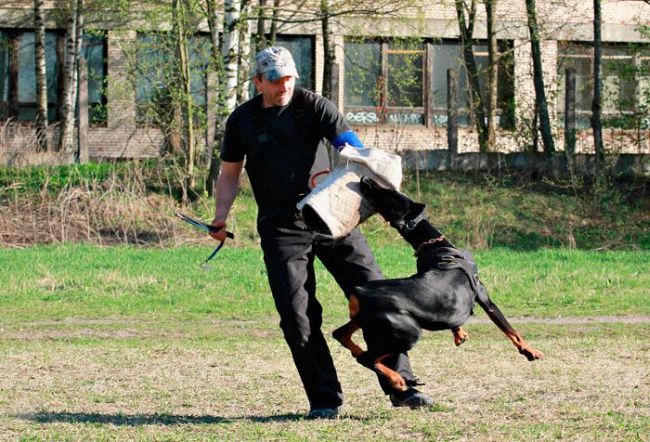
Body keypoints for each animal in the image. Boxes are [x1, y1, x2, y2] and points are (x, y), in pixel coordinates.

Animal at [332, 177, 543, 392]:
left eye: (389, 192)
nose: (365, 178)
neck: (434, 245)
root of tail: (359, 291)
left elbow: (454, 321)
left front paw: (459, 334)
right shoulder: (485, 298)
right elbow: (511, 330)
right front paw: (530, 351)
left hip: (365, 321)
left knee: (340, 335)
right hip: (406, 333)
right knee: (366, 358)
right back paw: (396, 379)